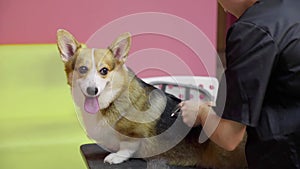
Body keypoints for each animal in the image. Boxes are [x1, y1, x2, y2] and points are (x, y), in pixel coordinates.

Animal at [56, 29, 246, 169]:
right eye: (82, 69)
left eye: (104, 71)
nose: (92, 90)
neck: (111, 101)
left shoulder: (134, 134)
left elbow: (127, 145)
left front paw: (116, 156)